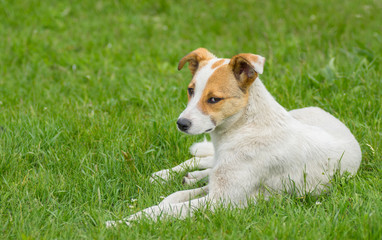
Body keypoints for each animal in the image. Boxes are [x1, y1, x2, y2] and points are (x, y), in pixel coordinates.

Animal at [106, 47, 362, 227]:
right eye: (190, 90)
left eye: (214, 99)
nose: (181, 124)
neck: (244, 128)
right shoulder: (219, 191)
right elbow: (172, 198)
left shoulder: (221, 201)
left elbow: (168, 208)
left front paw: (119, 223)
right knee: (203, 161)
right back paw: (167, 175)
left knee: (208, 167)